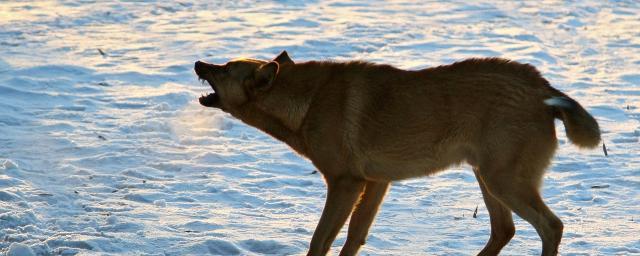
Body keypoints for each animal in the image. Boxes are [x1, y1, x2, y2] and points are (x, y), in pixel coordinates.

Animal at [194, 51, 600, 255]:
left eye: (224, 69)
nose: (197, 63)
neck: (305, 103)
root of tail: (544, 90)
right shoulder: (376, 182)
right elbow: (354, 238)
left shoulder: (345, 182)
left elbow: (320, 239)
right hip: (488, 177)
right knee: (504, 230)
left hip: (504, 180)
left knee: (551, 226)